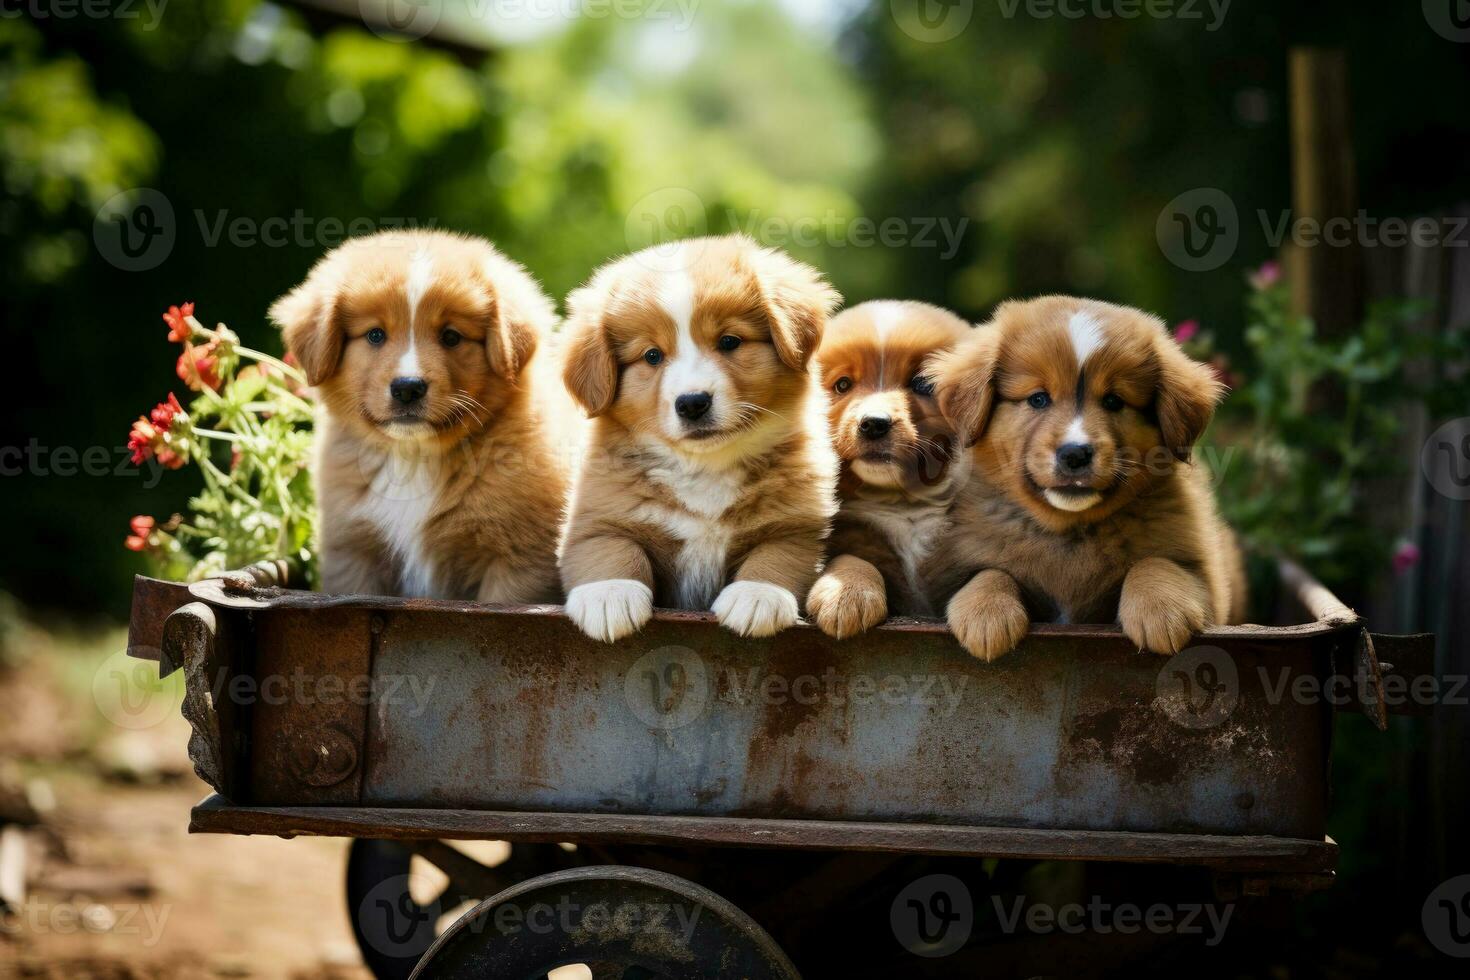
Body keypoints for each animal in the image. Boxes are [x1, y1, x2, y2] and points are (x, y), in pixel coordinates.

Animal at [558, 232, 846, 643]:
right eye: (652, 356)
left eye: (729, 342)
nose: (692, 403)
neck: (705, 464)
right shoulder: (595, 515)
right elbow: (611, 547)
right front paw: (609, 594)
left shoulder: (799, 526)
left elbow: (778, 555)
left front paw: (756, 596)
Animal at [805, 299, 976, 637]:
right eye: (843, 385)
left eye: (921, 384)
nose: (874, 423)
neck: (902, 504)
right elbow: (852, 560)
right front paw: (846, 596)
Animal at [929, 293, 1240, 658]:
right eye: (1038, 398)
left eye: (1113, 401)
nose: (1074, 453)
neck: (1071, 531)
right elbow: (990, 572)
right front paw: (987, 614)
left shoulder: (1204, 577)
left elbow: (1155, 563)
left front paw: (1161, 610)